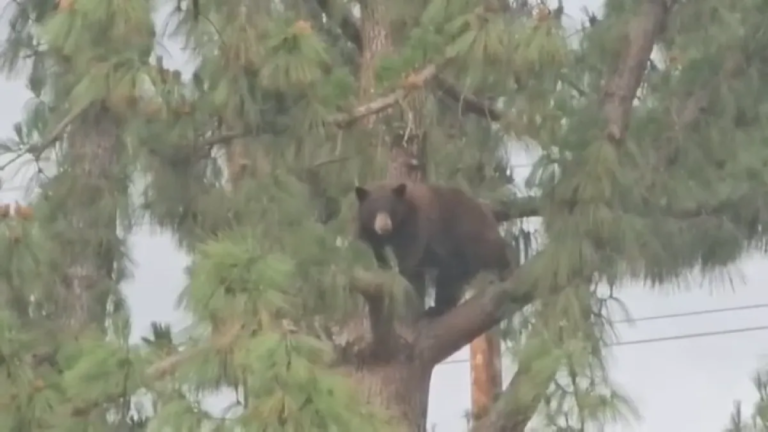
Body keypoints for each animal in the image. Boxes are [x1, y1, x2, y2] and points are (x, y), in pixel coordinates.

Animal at [353, 181, 511, 318]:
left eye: (392, 209)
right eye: (373, 210)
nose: (384, 226)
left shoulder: (417, 229)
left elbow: (412, 262)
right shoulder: (373, 240)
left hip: (470, 232)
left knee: (488, 251)